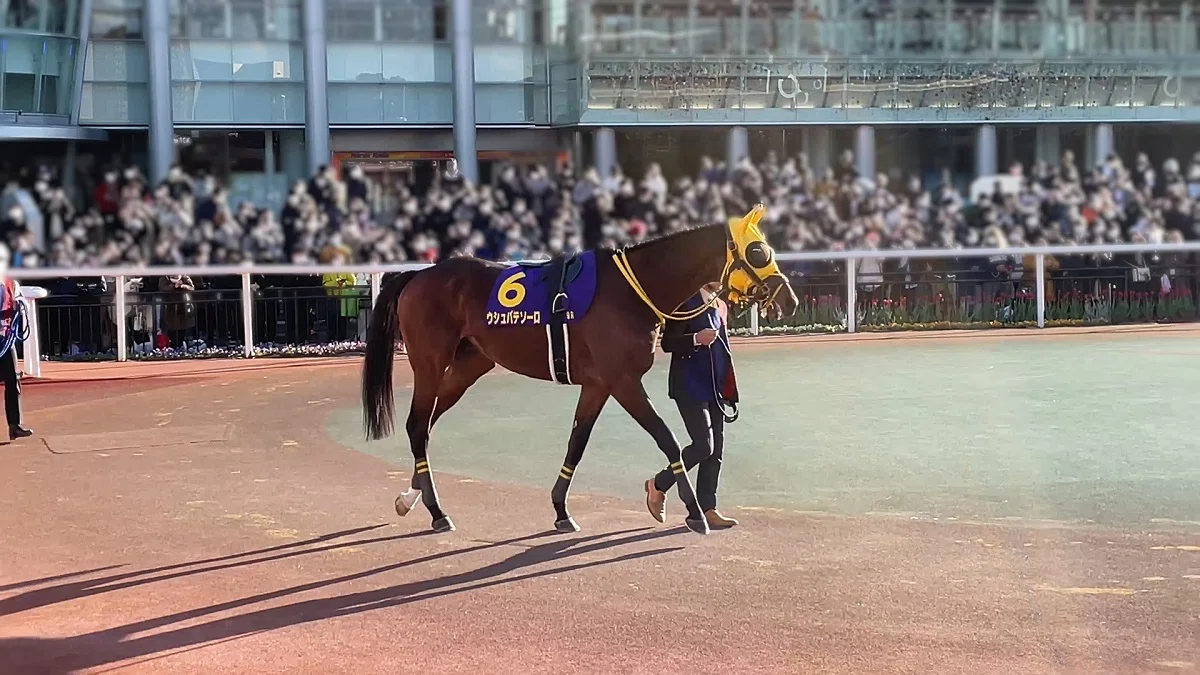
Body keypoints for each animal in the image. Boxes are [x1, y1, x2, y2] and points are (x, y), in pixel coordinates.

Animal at [361, 204, 799, 535]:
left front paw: (561, 510)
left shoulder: (598, 384)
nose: (790, 300)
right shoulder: (624, 382)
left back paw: (411, 498)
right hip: (430, 364)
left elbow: (578, 441)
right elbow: (668, 439)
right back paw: (437, 512)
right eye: (758, 251)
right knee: (418, 424)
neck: (632, 289)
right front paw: (693, 513)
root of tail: (418, 276)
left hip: (471, 364)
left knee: (426, 425)